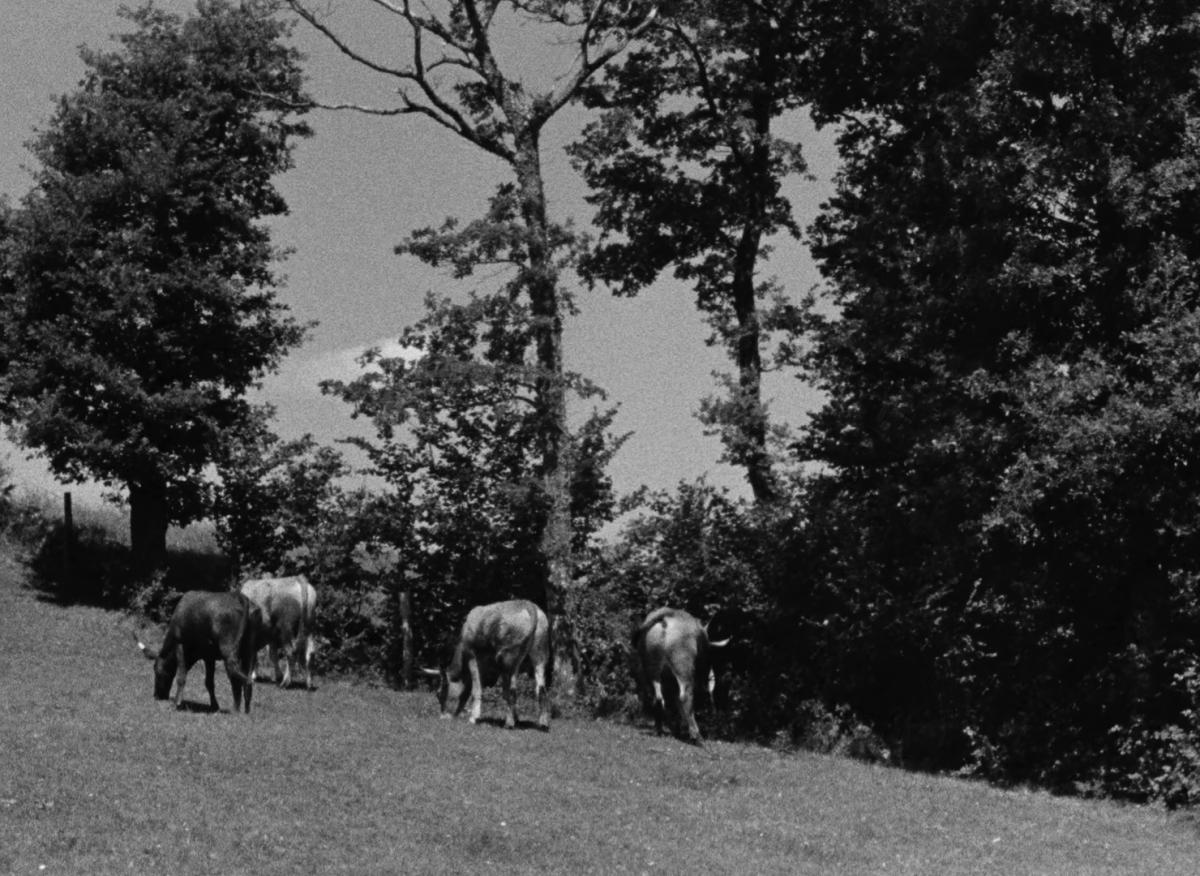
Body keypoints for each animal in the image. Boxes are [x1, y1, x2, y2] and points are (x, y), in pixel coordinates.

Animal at [137, 588, 266, 710]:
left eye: (156, 670)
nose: (157, 695)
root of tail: (242, 598)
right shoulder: (209, 656)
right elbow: (209, 682)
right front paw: (214, 706)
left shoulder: (180, 643)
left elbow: (181, 676)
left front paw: (177, 703)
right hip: (250, 648)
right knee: (246, 676)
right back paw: (245, 710)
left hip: (228, 645)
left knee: (236, 673)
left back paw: (236, 708)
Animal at [422, 597, 552, 724]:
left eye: (439, 694)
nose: (443, 717)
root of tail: (530, 605)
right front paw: (517, 718)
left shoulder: (472, 655)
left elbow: (476, 688)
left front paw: (473, 717)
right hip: (539, 653)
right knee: (540, 689)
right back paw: (542, 722)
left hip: (506, 657)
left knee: (509, 691)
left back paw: (509, 723)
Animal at [633, 607, 724, 744]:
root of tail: (667, 616)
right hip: (683, 669)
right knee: (684, 697)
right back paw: (697, 736)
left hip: (650, 671)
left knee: (658, 697)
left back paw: (660, 730)